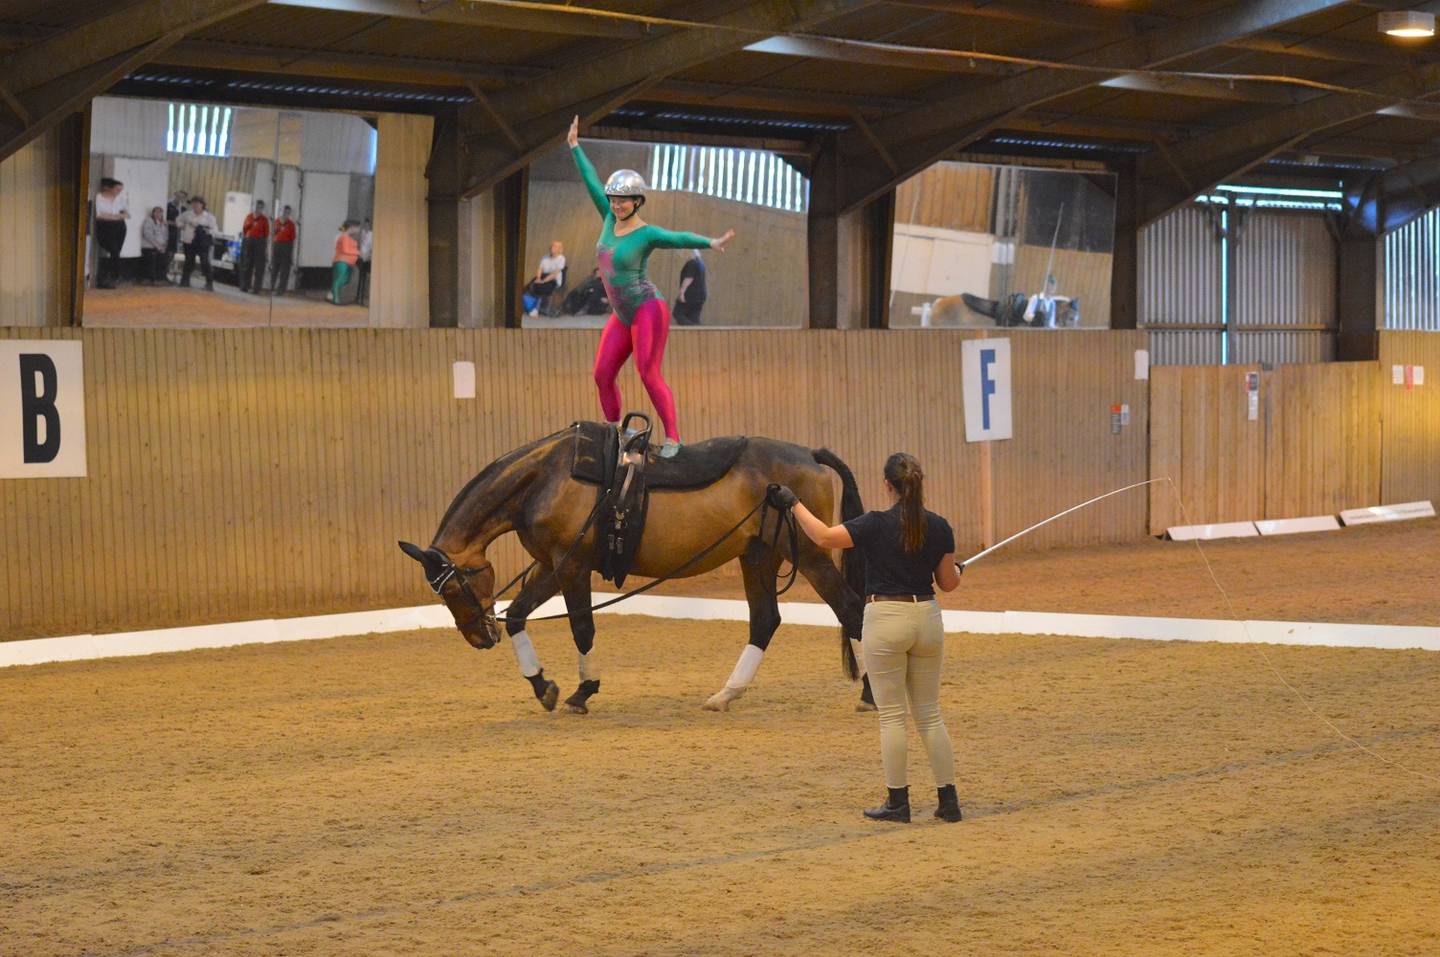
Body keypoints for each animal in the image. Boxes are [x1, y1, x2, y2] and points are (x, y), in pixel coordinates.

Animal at [397, 423, 864, 708]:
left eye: (451, 587)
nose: (479, 638)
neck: (547, 478)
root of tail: (809, 454)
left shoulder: (572, 566)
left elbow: (582, 627)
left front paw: (583, 691)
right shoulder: (550, 564)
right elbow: (516, 615)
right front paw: (543, 685)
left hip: (812, 554)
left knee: (850, 609)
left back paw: (870, 696)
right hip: (758, 555)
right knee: (765, 620)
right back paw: (725, 695)